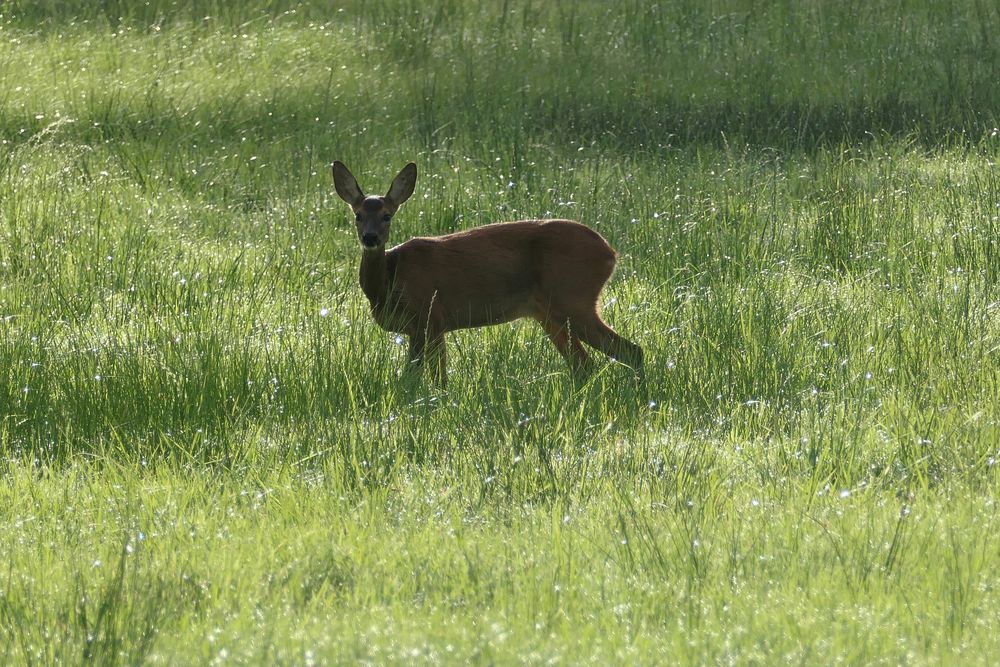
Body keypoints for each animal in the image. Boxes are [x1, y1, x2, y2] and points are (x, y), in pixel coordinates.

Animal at [336, 161, 644, 386]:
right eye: (358, 215)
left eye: (387, 215)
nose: (370, 238)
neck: (390, 280)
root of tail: (611, 253)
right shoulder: (421, 329)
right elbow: (416, 378)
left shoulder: (431, 316)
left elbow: (433, 378)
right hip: (549, 313)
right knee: (584, 364)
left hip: (574, 298)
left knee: (630, 351)